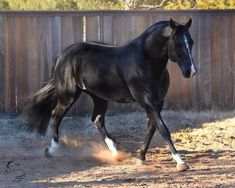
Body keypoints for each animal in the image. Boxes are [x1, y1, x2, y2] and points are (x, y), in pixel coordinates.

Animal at [22, 18, 196, 171]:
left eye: (191, 42)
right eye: (178, 43)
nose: (191, 71)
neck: (144, 61)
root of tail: (61, 55)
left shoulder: (157, 102)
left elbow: (153, 127)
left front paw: (140, 157)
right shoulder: (146, 100)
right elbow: (162, 128)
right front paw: (180, 162)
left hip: (99, 97)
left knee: (97, 120)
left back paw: (116, 152)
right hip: (68, 95)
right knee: (56, 116)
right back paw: (52, 150)